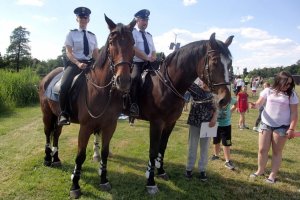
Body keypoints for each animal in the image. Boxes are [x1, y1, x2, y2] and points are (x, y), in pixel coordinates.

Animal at [38, 15, 135, 198]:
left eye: (133, 42)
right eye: (111, 42)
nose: (124, 81)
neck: (100, 89)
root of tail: (47, 77)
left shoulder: (110, 125)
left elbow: (104, 153)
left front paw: (104, 180)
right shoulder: (85, 127)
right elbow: (80, 156)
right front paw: (75, 186)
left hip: (59, 117)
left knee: (56, 134)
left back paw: (56, 159)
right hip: (47, 114)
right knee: (48, 133)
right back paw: (47, 159)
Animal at [125, 32, 233, 194]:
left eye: (230, 64)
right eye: (214, 62)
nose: (224, 99)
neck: (166, 84)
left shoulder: (170, 123)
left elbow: (162, 147)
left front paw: (161, 172)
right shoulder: (156, 123)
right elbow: (153, 150)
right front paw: (151, 182)